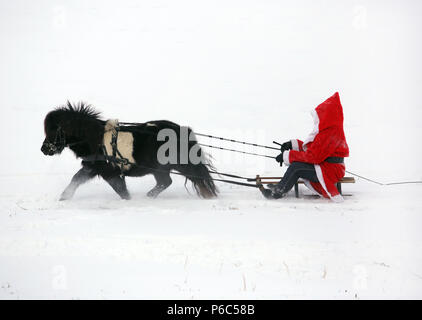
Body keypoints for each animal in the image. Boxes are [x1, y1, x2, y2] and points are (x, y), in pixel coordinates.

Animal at [40, 102, 218, 200]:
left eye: (53, 130)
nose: (43, 149)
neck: (95, 139)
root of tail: (182, 130)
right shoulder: (92, 168)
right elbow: (76, 179)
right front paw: (64, 198)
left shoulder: (109, 172)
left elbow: (121, 190)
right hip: (160, 169)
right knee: (166, 182)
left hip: (179, 165)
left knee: (194, 178)